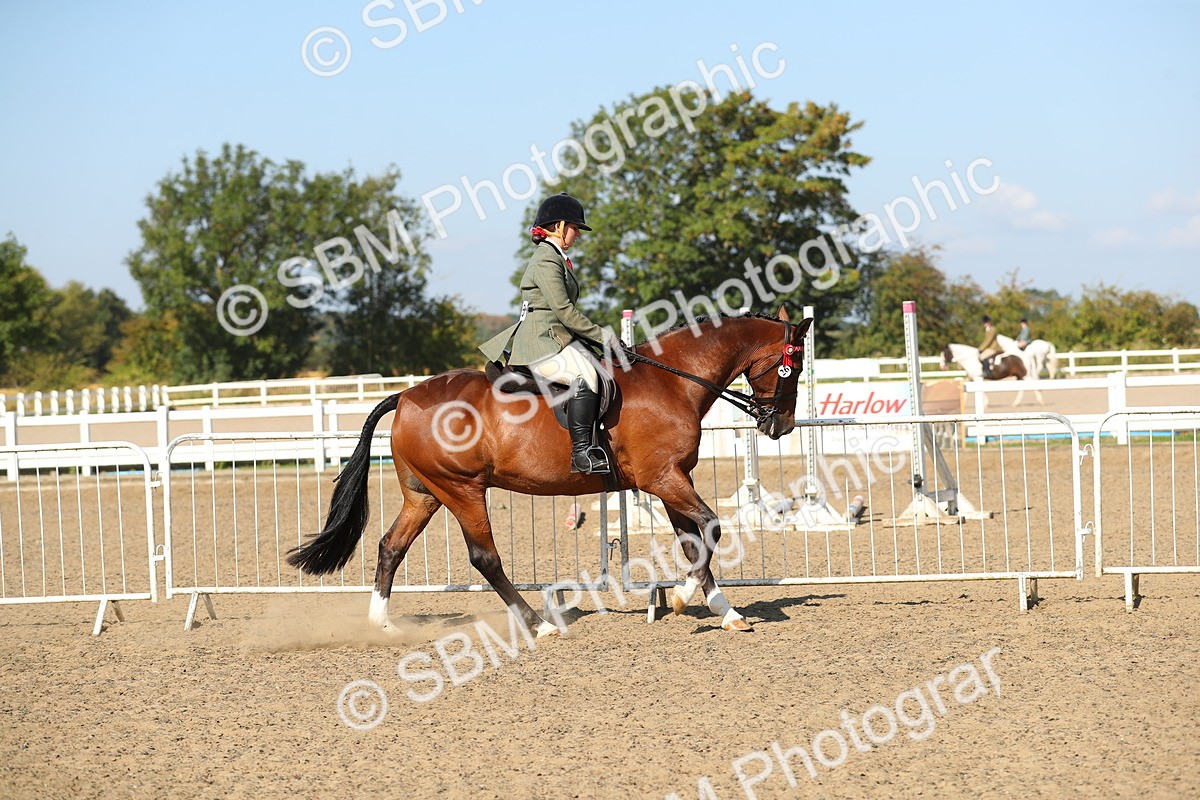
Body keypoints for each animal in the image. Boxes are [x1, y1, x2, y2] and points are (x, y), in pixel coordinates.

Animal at [287, 309, 812, 636]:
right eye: (794, 367)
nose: (780, 426)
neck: (673, 380)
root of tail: (406, 396)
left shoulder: (671, 480)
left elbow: (693, 542)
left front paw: (727, 612)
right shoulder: (663, 478)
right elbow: (712, 527)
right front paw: (683, 599)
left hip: (425, 493)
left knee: (390, 547)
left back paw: (383, 623)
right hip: (462, 490)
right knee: (485, 558)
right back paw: (537, 624)